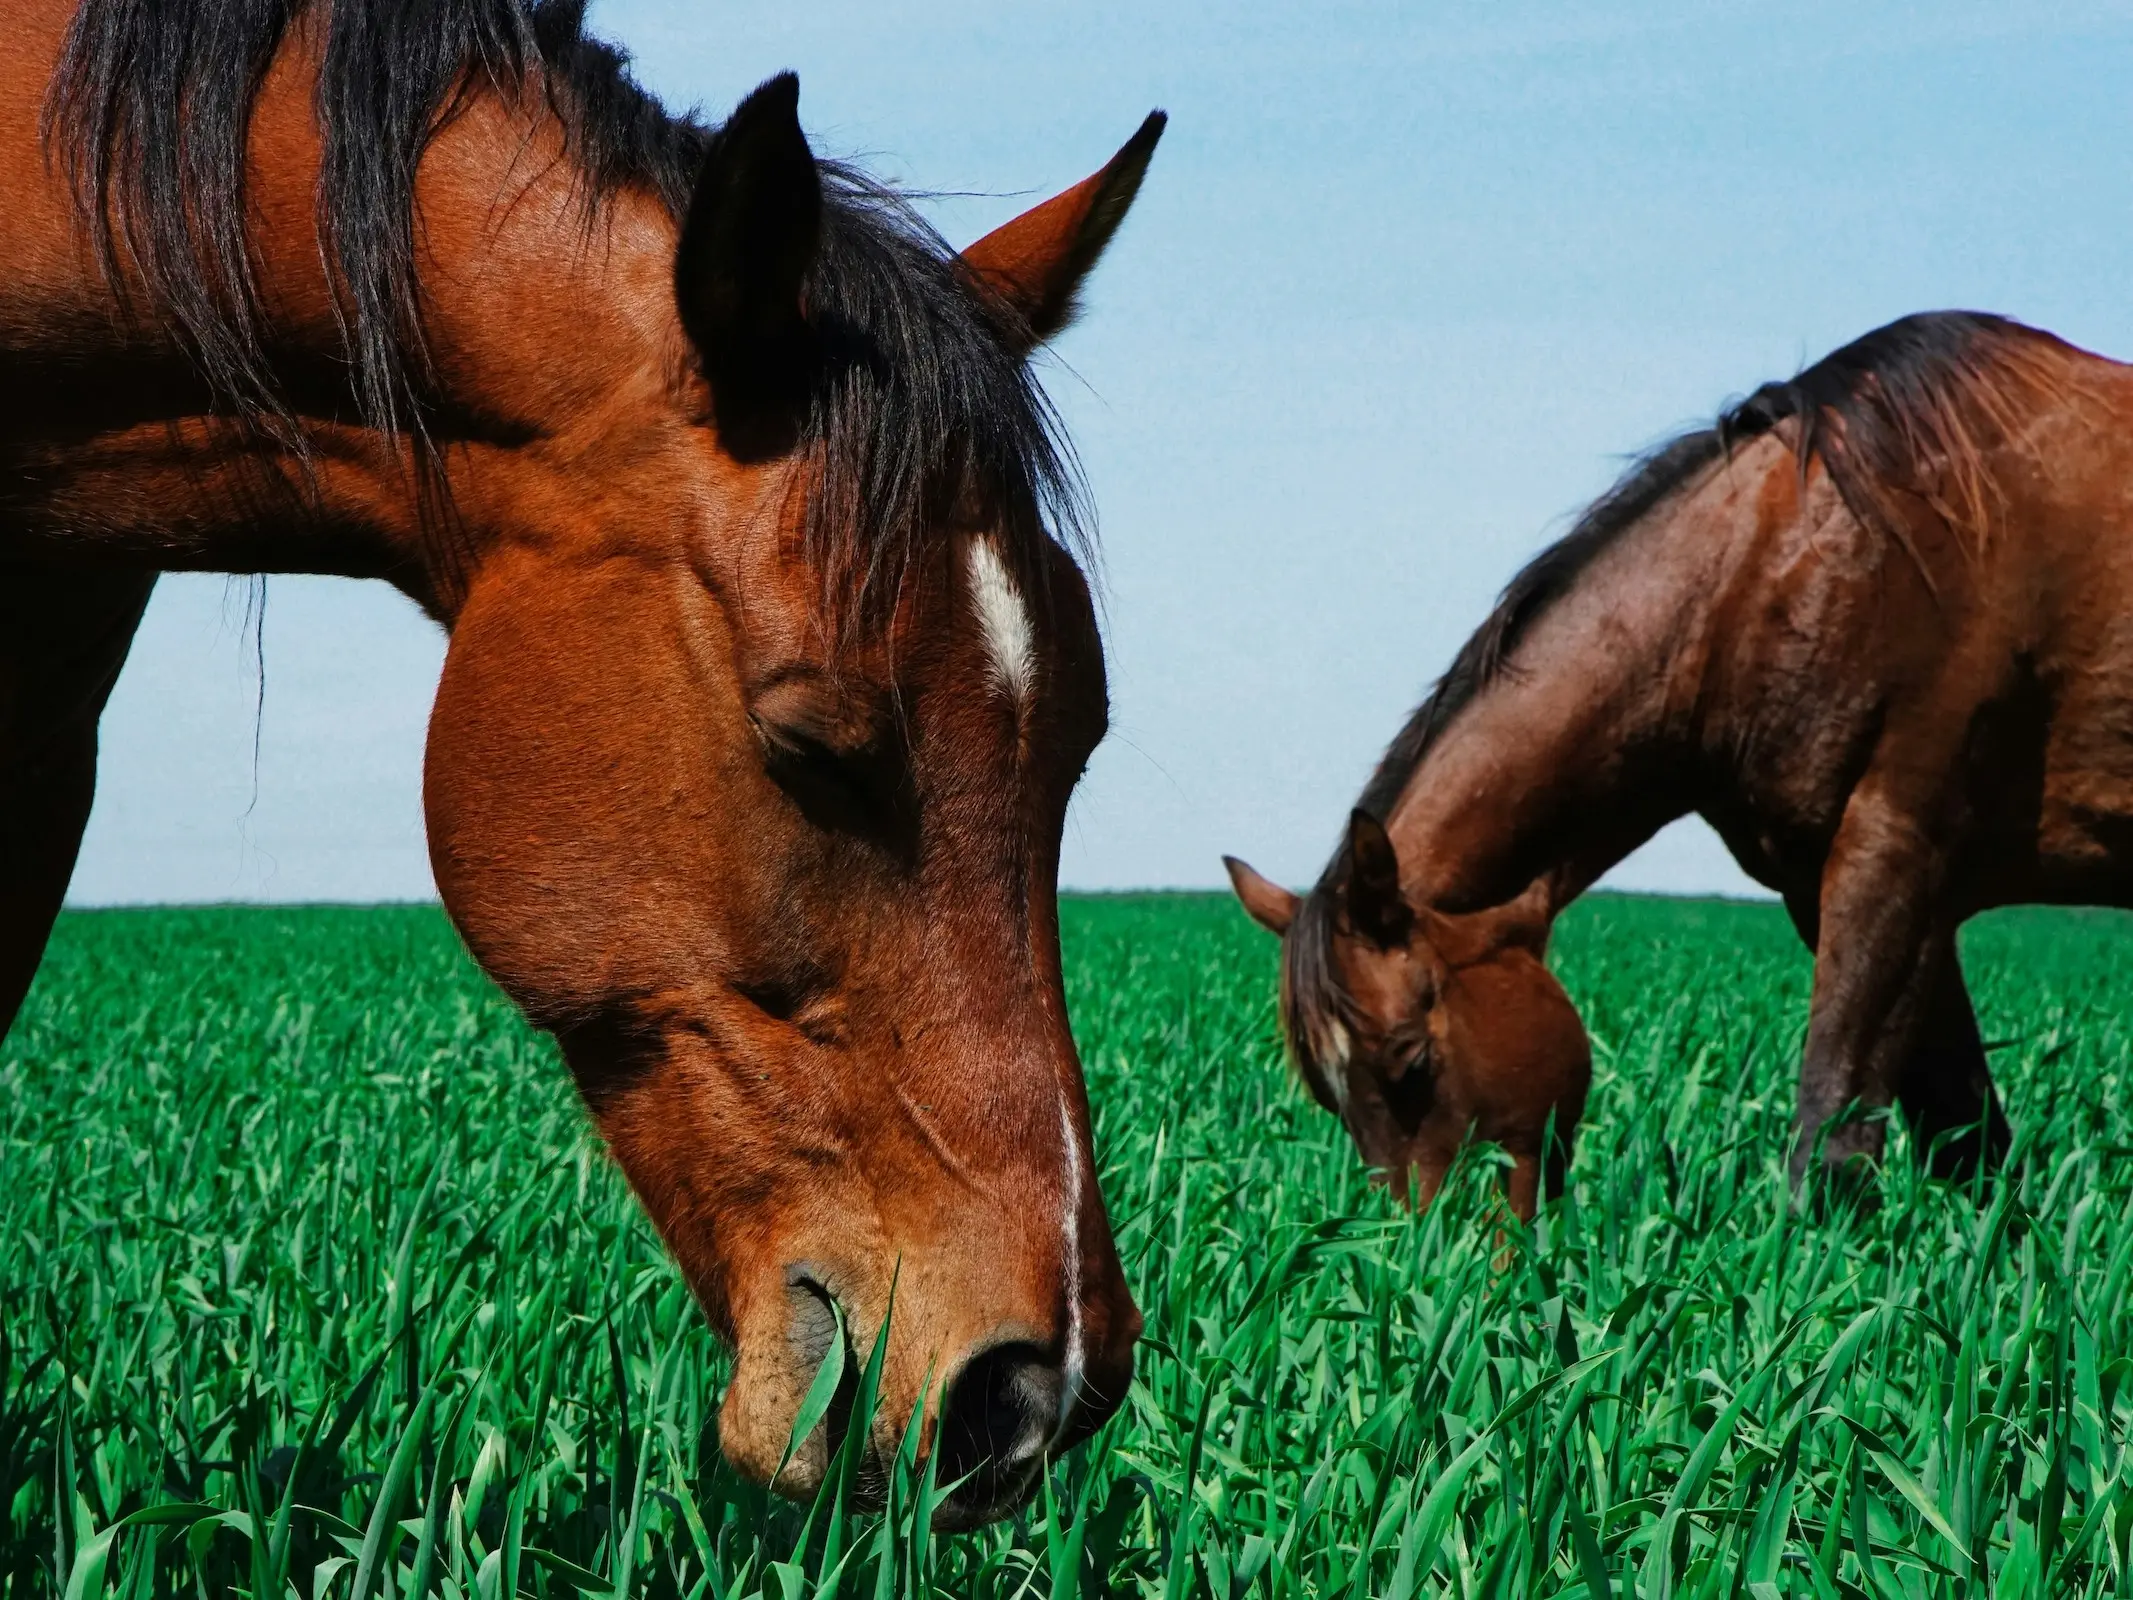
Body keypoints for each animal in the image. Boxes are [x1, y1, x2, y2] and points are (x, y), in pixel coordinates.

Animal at [1220, 309, 2133, 1211]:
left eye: (1409, 1061)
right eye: (1329, 1096)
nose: (1432, 1252)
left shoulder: (1894, 863)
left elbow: (1831, 1150)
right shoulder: (1843, 891)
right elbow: (1969, 1145)